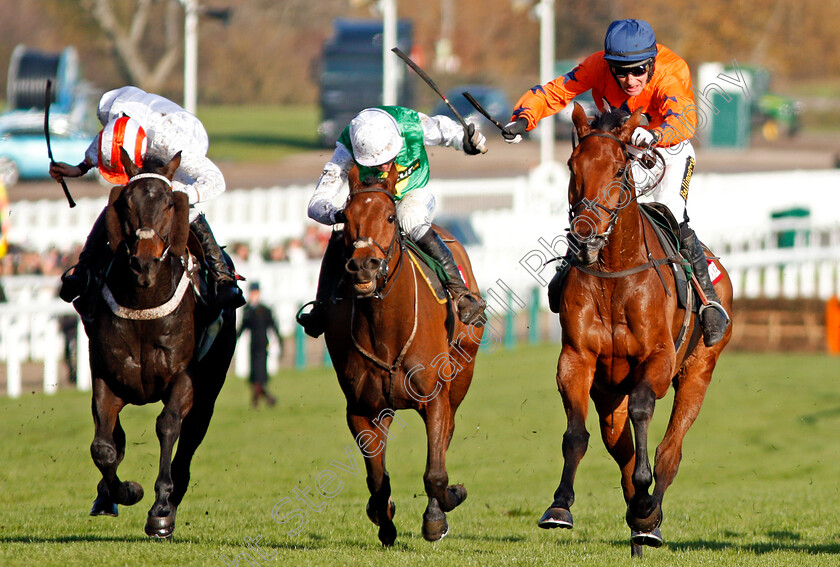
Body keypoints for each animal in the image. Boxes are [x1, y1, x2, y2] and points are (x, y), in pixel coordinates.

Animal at [80, 149, 238, 540]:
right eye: (125, 202)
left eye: (168, 203)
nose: (144, 261)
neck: (144, 303)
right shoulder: (106, 379)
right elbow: (103, 447)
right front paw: (123, 492)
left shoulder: (185, 379)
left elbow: (167, 425)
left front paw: (161, 509)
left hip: (210, 389)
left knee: (188, 441)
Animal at [324, 166, 486, 548]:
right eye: (345, 217)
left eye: (389, 216)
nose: (364, 266)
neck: (385, 329)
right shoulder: (361, 409)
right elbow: (377, 478)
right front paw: (384, 522)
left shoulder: (435, 397)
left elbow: (436, 474)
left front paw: (443, 509)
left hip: (462, 373)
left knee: (448, 434)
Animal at [540, 104, 732, 556]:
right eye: (572, 166)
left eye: (617, 170)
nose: (584, 237)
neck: (614, 273)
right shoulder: (576, 359)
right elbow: (575, 434)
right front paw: (560, 506)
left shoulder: (658, 359)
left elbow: (646, 411)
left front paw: (647, 507)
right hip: (609, 395)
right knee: (621, 449)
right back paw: (636, 517)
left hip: (698, 371)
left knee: (669, 450)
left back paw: (649, 518)